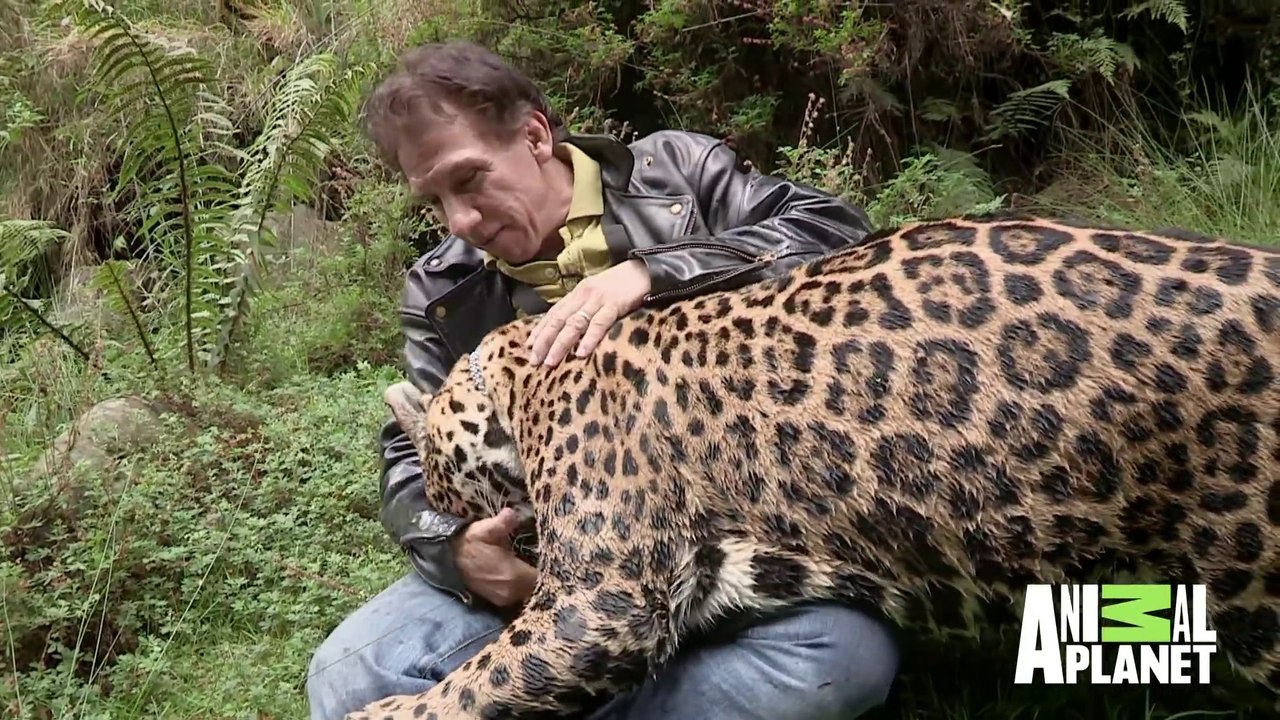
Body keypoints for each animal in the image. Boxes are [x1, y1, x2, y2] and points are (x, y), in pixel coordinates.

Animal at [346, 214, 1280, 720]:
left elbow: (487, 677)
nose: (444, 505)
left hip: (1255, 575)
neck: (520, 382)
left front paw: (390, 709)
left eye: (440, 477)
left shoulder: (602, 599)